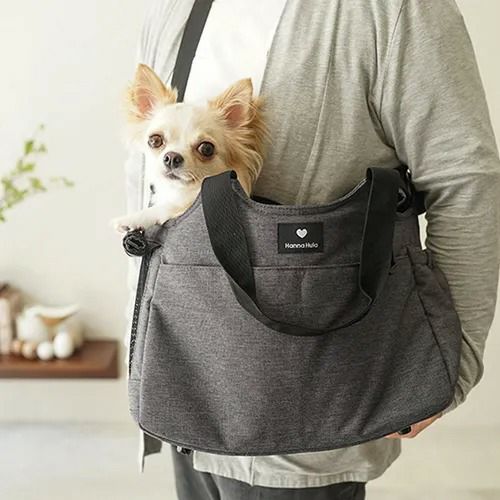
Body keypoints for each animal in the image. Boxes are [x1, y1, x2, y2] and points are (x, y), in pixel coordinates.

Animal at [111, 64, 269, 233]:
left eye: (206, 149)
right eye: (154, 140)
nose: (172, 157)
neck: (179, 192)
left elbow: (166, 208)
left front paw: (133, 218)